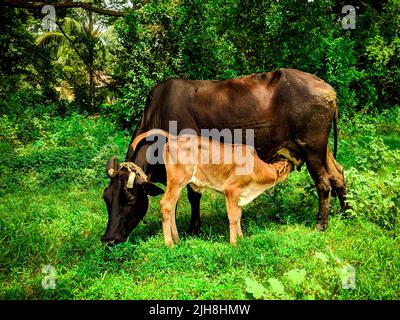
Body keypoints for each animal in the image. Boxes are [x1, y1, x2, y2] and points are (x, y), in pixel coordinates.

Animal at [131, 129, 294, 246]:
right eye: (286, 165)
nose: (292, 164)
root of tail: (174, 138)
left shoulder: (239, 195)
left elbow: (239, 215)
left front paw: (241, 238)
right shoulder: (231, 190)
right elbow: (233, 217)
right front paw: (234, 243)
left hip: (176, 184)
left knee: (171, 208)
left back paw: (177, 239)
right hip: (177, 181)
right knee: (166, 205)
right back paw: (169, 243)